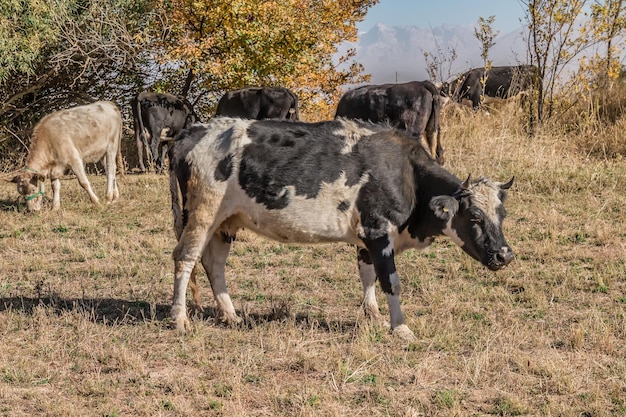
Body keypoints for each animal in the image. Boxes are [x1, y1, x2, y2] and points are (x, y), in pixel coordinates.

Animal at [167, 115, 512, 340]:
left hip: (226, 221)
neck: (405, 172)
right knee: (185, 258)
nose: (505, 254)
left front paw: (374, 316)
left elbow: (367, 275)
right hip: (202, 212)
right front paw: (400, 327)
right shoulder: (378, 231)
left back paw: (230, 315)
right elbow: (391, 282)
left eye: (502, 214)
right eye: (475, 217)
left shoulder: (366, 238)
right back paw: (180, 318)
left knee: (214, 264)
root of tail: (196, 130)